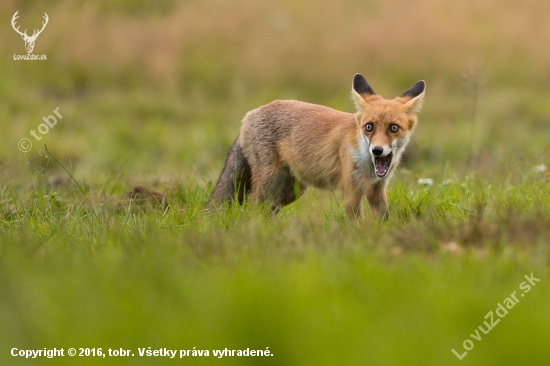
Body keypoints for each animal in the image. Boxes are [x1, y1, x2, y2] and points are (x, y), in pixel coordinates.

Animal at [207, 73, 426, 219]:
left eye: (393, 128)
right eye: (369, 127)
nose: (377, 150)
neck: (368, 165)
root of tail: (249, 115)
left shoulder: (376, 189)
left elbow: (383, 218)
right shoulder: (352, 188)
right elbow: (356, 222)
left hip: (292, 191)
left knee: (268, 209)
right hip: (270, 182)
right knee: (252, 207)